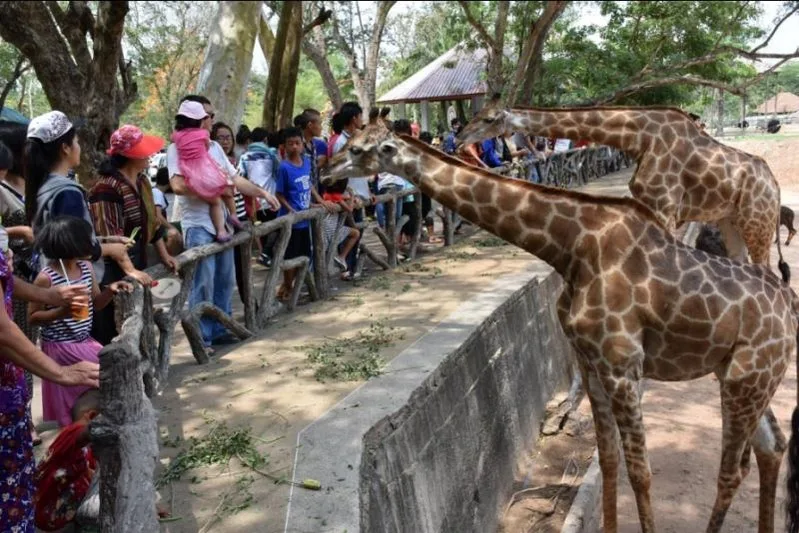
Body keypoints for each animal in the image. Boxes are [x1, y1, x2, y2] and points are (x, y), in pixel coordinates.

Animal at [321, 127, 799, 533]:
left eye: (360, 149)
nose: (325, 171)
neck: (568, 248)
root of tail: (791, 313)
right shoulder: (590, 364)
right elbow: (609, 460)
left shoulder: (623, 366)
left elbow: (640, 472)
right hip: (737, 374)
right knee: (771, 445)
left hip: (747, 378)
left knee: (732, 468)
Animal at [455, 103, 788, 280]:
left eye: (488, 118)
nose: (459, 139)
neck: (640, 138)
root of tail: (775, 186)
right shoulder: (649, 204)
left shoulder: (665, 206)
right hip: (730, 220)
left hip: (757, 222)